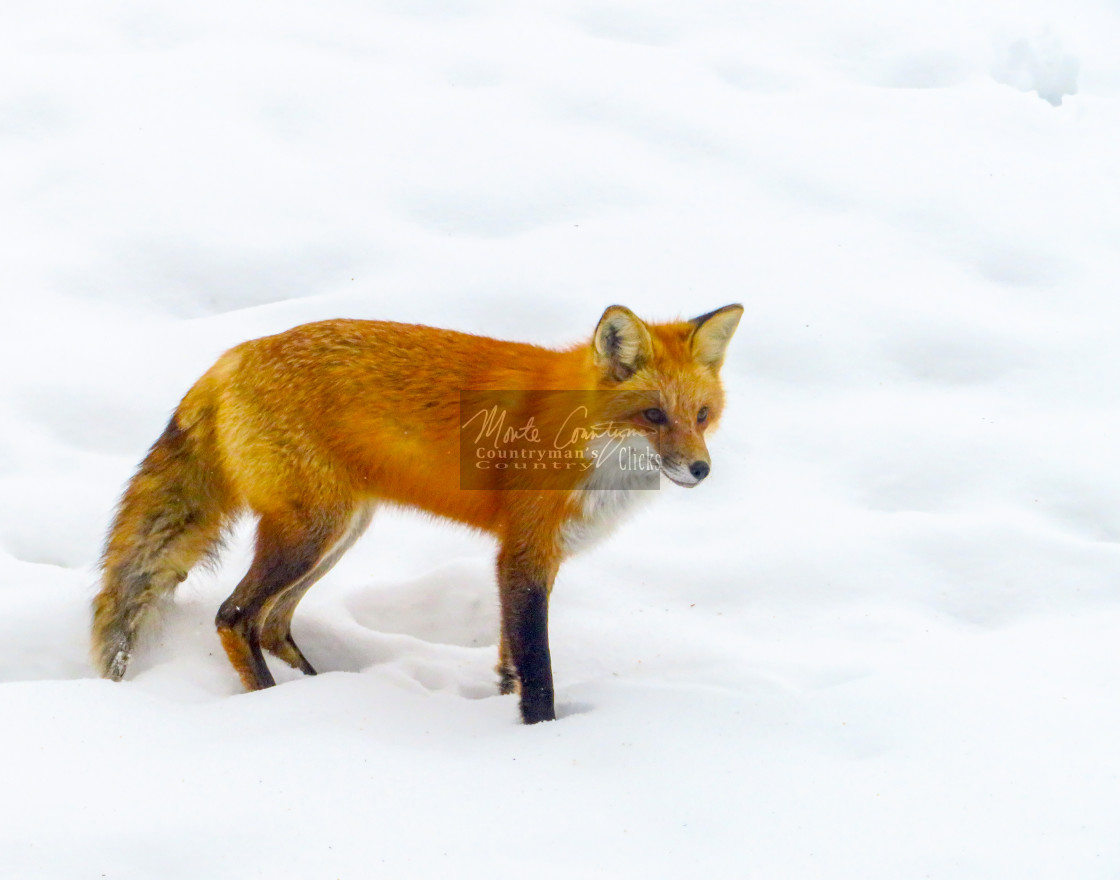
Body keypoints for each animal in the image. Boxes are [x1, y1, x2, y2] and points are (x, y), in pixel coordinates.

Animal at [94, 302, 743, 721]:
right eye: (653, 416)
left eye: (702, 414)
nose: (700, 470)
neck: (580, 438)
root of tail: (231, 356)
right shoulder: (525, 552)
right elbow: (537, 669)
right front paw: (541, 735)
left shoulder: (527, 558)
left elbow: (509, 658)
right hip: (311, 532)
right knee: (234, 617)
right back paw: (271, 704)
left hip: (340, 533)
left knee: (272, 623)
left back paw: (313, 693)